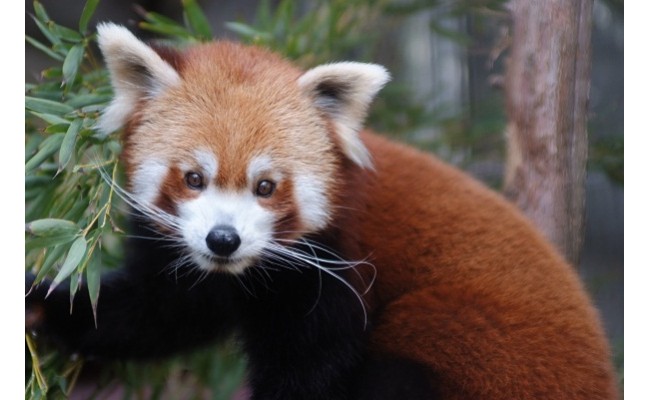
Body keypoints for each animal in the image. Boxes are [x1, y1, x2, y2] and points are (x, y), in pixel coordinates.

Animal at [25, 24, 616, 400]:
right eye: (194, 178)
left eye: (266, 187)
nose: (223, 239)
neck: (248, 272)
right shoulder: (185, 259)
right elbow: (151, 313)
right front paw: (42, 306)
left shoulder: (332, 274)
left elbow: (309, 372)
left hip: (468, 343)